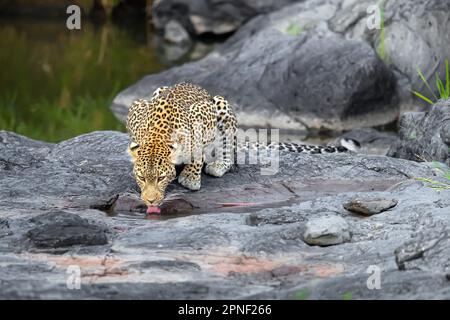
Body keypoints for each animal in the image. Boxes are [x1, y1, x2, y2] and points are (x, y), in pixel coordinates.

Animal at [125, 82, 356, 214]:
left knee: (229, 149)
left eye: (162, 178)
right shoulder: (136, 108)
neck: (158, 135)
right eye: (142, 178)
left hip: (221, 104)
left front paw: (190, 177)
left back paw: (219, 164)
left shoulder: (203, 115)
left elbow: (199, 150)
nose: (150, 200)